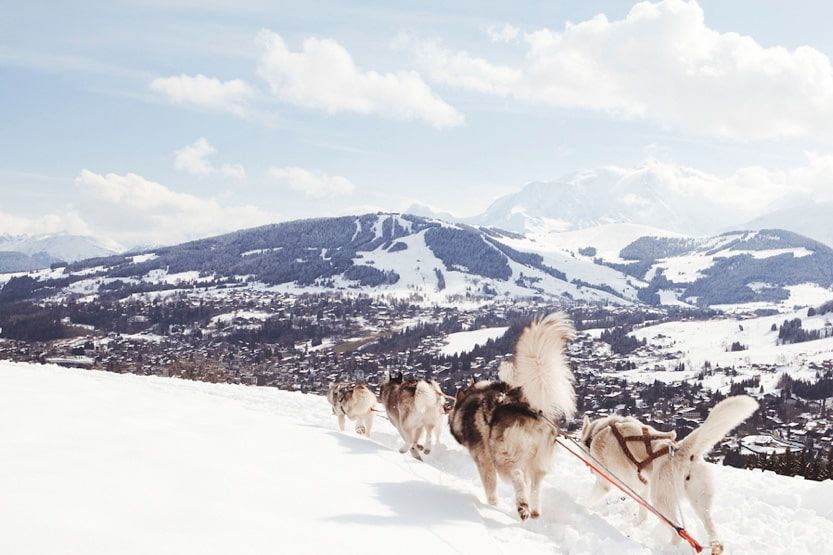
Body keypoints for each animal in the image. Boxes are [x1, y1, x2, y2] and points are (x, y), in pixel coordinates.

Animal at [446, 312, 576, 520]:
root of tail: (531, 408)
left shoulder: (484, 461)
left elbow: (490, 488)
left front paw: (492, 506)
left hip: (503, 457)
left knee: (518, 477)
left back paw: (522, 506)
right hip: (537, 462)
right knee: (535, 485)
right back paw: (534, 510)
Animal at [580, 396, 756, 552]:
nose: (589, 468)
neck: (596, 434)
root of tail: (682, 450)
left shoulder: (607, 482)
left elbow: (589, 498)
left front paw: (580, 505)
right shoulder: (643, 485)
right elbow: (642, 513)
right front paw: (637, 523)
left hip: (661, 503)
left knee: (679, 533)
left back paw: (668, 548)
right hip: (700, 503)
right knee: (711, 531)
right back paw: (714, 545)